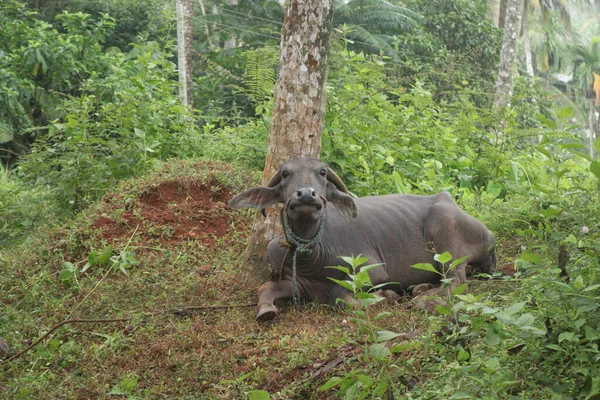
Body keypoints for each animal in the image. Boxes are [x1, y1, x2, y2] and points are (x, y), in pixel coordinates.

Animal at [230, 158, 496, 320]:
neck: (313, 257)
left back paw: (424, 299)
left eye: (322, 172)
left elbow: (341, 296)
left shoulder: (372, 270)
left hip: (444, 226)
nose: (306, 194)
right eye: (286, 173)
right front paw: (265, 309)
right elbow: (266, 286)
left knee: (457, 280)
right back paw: (420, 288)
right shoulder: (296, 281)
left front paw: (386, 296)